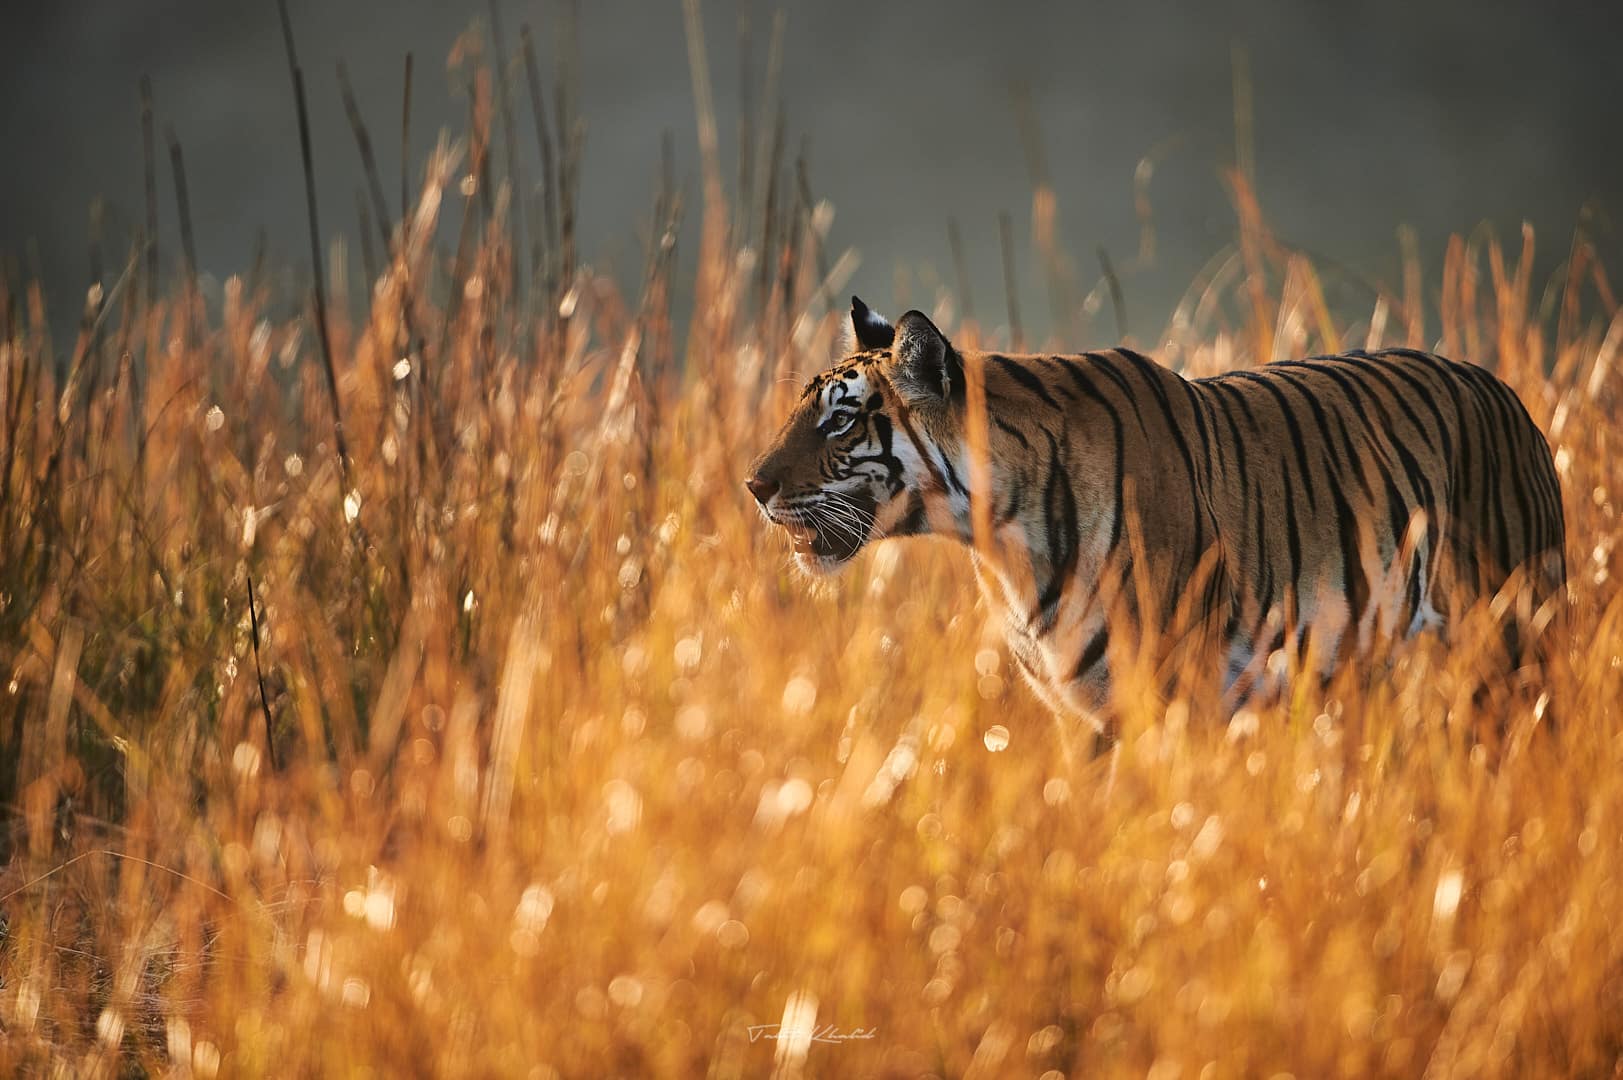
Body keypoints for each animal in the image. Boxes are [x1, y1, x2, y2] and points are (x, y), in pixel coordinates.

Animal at [743, 295, 1558, 734]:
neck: (998, 540)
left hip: (1513, 644)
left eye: (840, 421)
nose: (751, 484)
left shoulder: (1170, 697)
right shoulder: (1078, 711)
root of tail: (1508, 394)